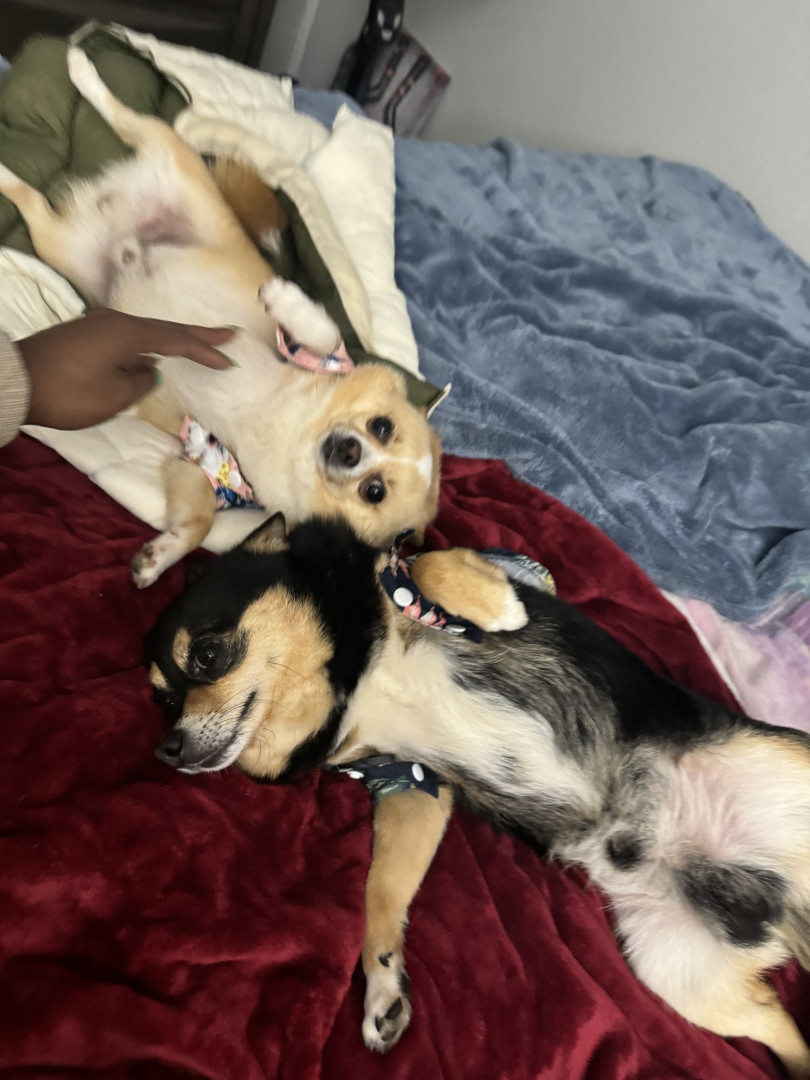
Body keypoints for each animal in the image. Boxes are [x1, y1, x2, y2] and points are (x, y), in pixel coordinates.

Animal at [0, 48, 440, 586]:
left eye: (374, 492)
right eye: (381, 427)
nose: (348, 449)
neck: (297, 440)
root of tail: (122, 227)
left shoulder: (204, 463)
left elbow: (199, 521)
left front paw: (159, 557)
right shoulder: (305, 354)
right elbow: (322, 330)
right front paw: (284, 297)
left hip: (58, 246)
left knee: (31, 198)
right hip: (167, 153)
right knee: (123, 117)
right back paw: (82, 67)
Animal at [144, 512, 810, 1076]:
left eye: (206, 654)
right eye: (166, 701)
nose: (167, 749)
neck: (349, 680)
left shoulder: (508, 569)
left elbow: (425, 564)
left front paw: (496, 607)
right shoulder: (413, 782)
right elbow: (379, 893)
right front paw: (383, 986)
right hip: (676, 971)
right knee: (783, 1026)